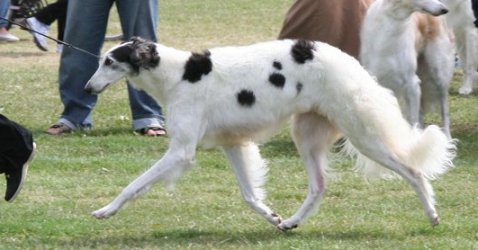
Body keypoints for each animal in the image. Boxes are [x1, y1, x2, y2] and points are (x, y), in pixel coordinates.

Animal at [85, 37, 456, 230]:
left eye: (109, 61)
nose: (88, 88)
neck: (177, 74)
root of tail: (346, 59)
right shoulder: (232, 143)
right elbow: (250, 196)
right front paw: (273, 215)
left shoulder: (181, 151)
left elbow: (134, 185)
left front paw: (105, 210)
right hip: (307, 134)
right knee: (319, 186)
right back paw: (292, 221)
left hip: (363, 135)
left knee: (413, 171)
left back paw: (433, 214)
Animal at [360, 0, 454, 138]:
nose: (445, 10)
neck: (392, 19)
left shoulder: (412, 83)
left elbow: (414, 120)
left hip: (439, 74)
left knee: (444, 109)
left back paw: (446, 136)